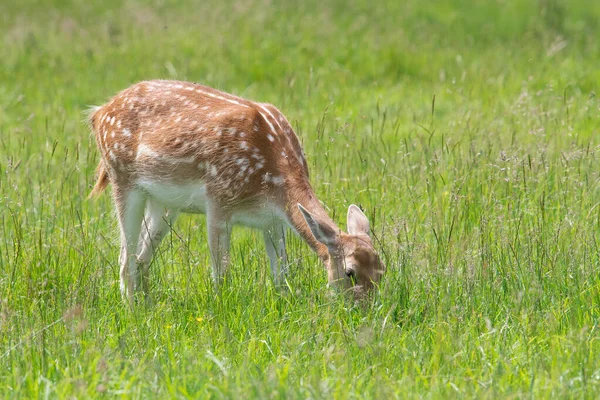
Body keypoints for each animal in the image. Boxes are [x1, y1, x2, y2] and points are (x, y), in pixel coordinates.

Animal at [88, 80, 384, 306]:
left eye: (382, 270)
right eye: (350, 272)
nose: (366, 310)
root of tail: (99, 112)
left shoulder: (271, 220)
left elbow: (281, 274)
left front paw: (283, 303)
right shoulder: (218, 199)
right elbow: (221, 273)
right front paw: (220, 309)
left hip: (164, 202)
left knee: (141, 258)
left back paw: (147, 305)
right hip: (122, 177)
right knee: (125, 259)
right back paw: (132, 310)